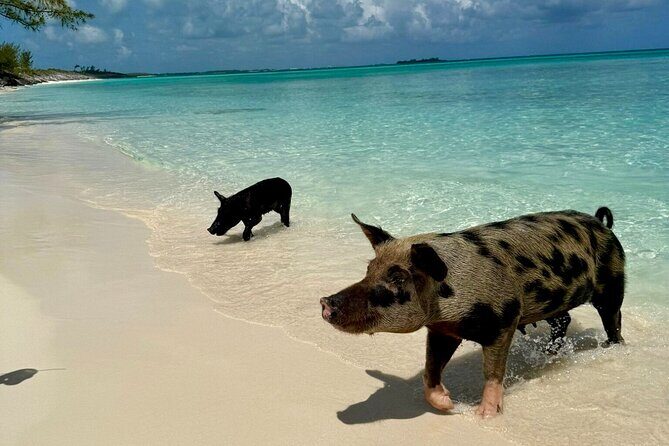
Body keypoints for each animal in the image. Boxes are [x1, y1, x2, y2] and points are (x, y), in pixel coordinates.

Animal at [320, 208, 625, 417]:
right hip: (554, 303)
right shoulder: (443, 330)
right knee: (563, 319)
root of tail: (601, 222)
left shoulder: (504, 319)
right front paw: (448, 404)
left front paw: (485, 415)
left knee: (613, 318)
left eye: (398, 278)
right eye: (369, 269)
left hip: (613, 283)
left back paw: (613, 347)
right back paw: (550, 354)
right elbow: (431, 369)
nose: (325, 302)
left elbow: (493, 373)